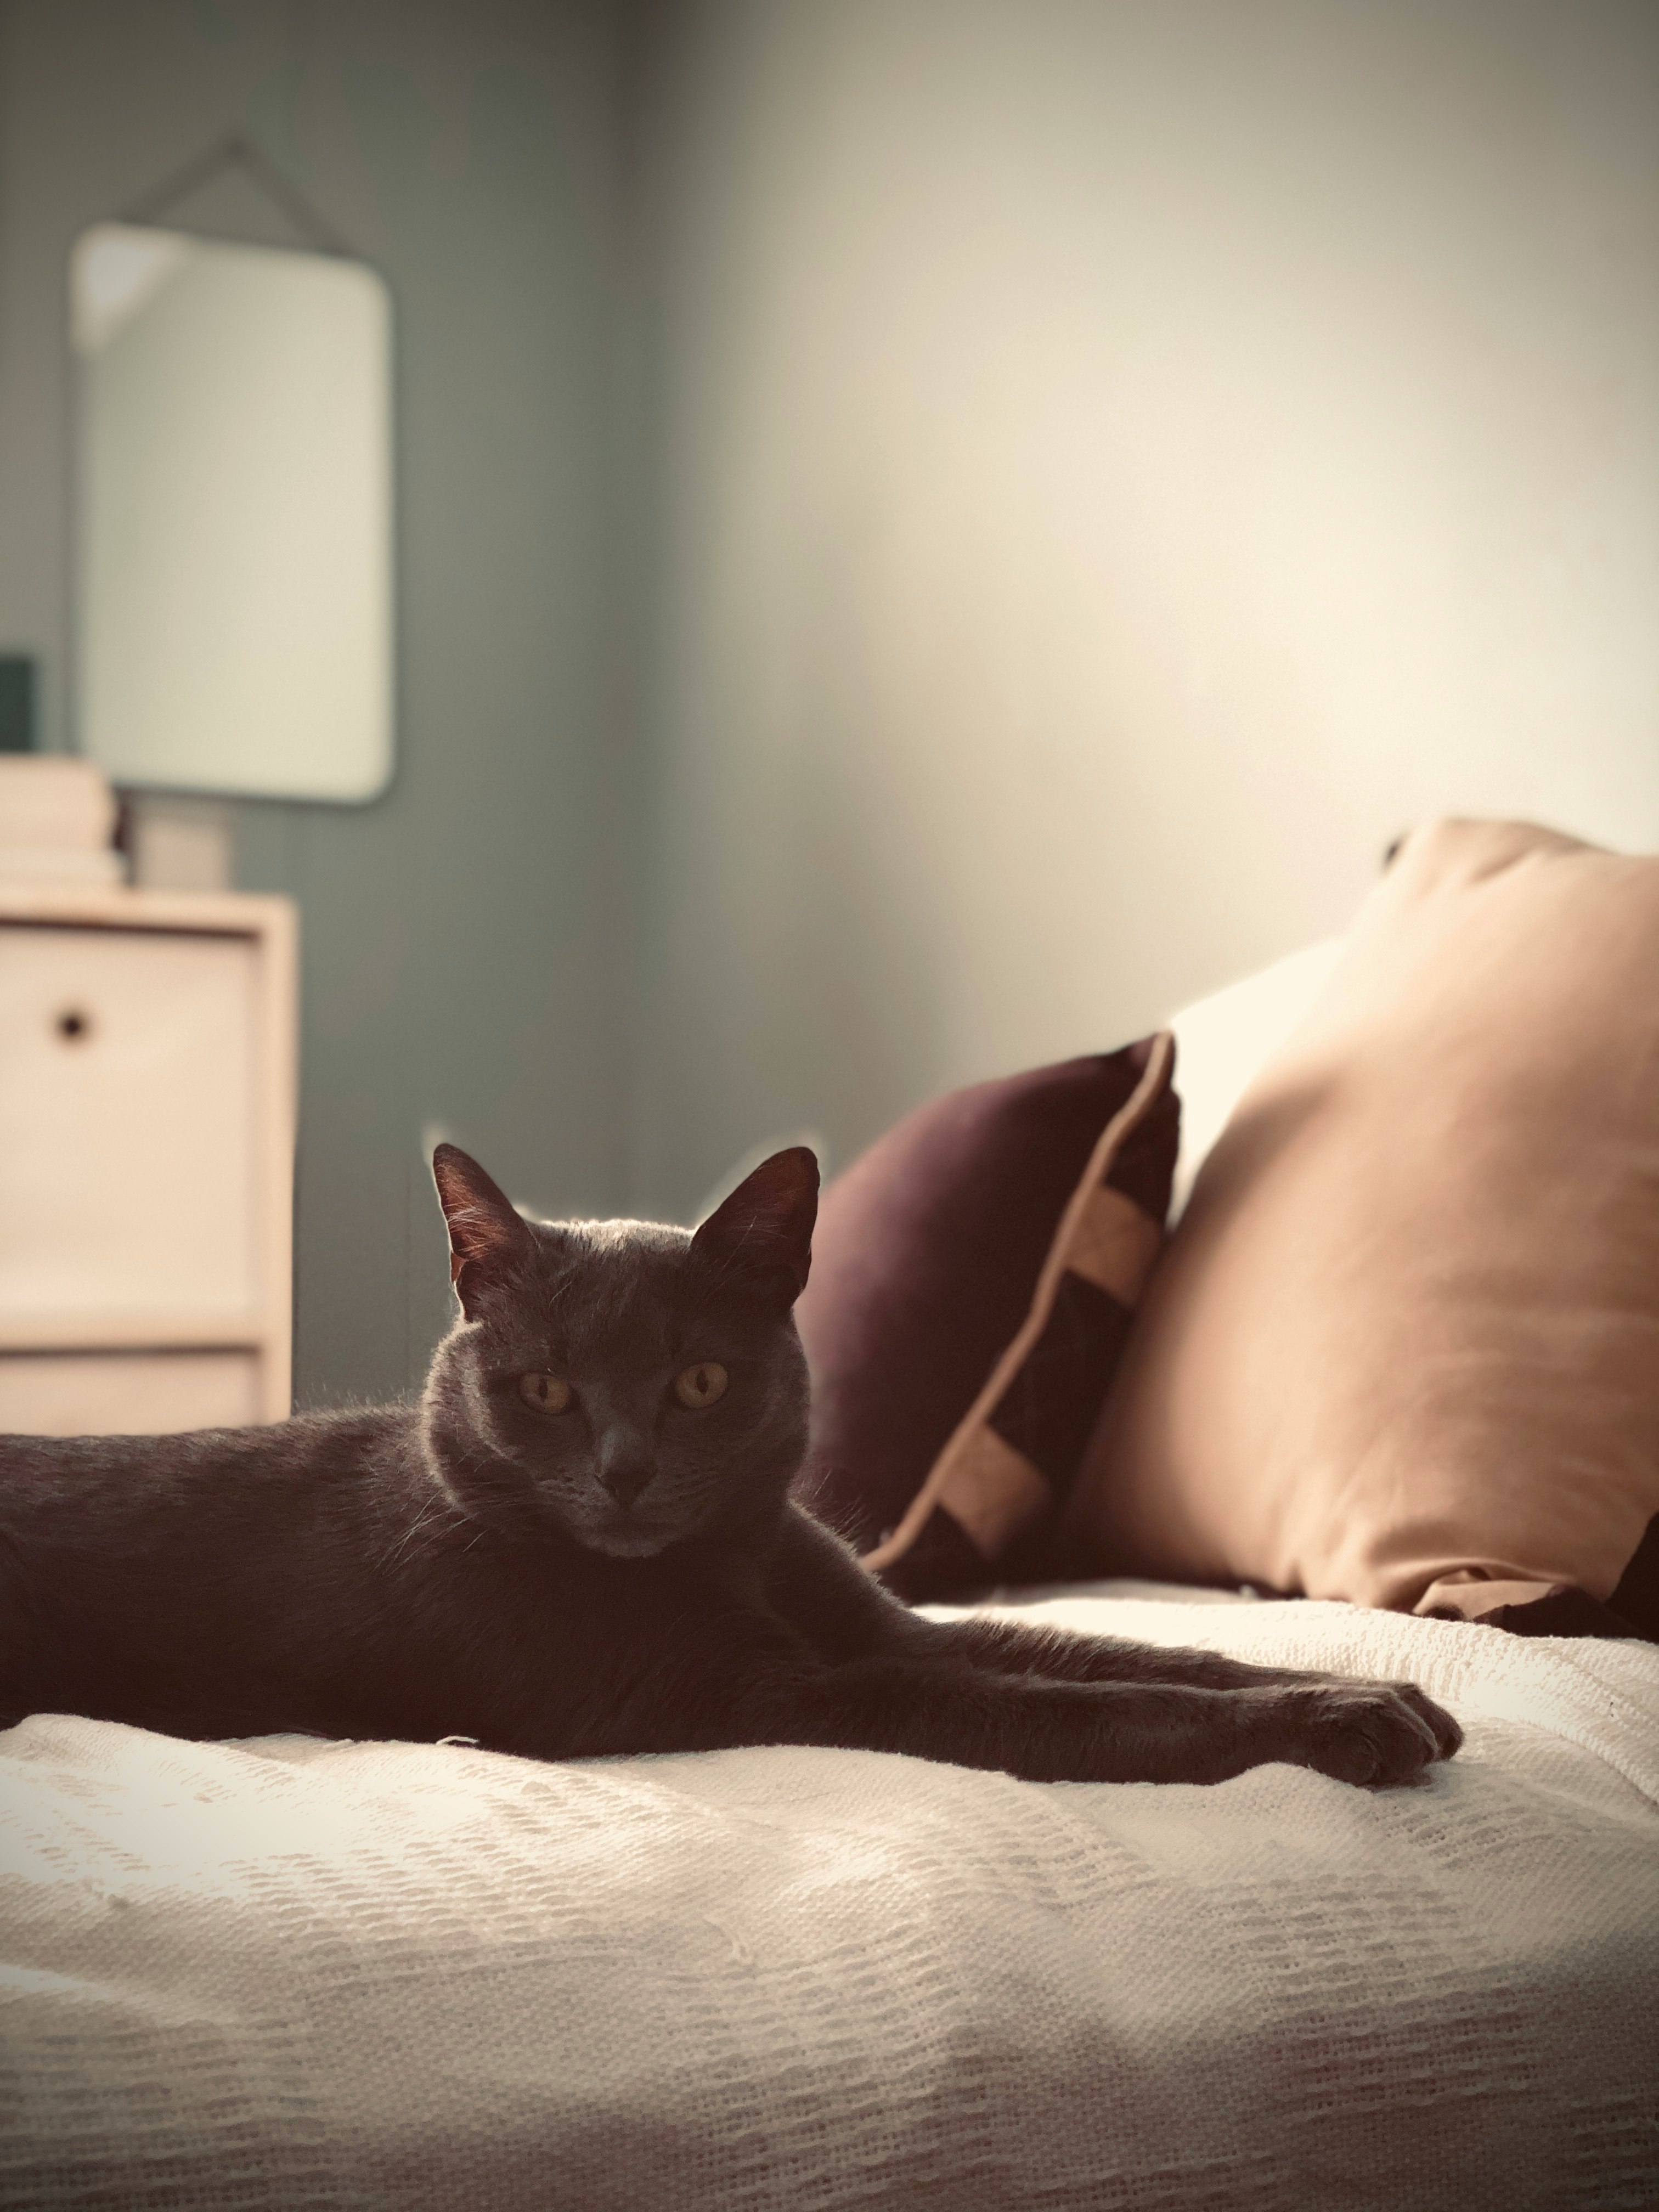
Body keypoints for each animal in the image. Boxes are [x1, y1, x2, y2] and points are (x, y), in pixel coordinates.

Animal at [0, 1150, 1469, 1787]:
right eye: (546, 1388)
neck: (735, 1563)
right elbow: (1066, 1707)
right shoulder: (756, 1693)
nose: (625, 1470)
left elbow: (1122, 1649)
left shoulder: (890, 1622)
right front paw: (1338, 1726)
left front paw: (1377, 1689)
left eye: (700, 1381)